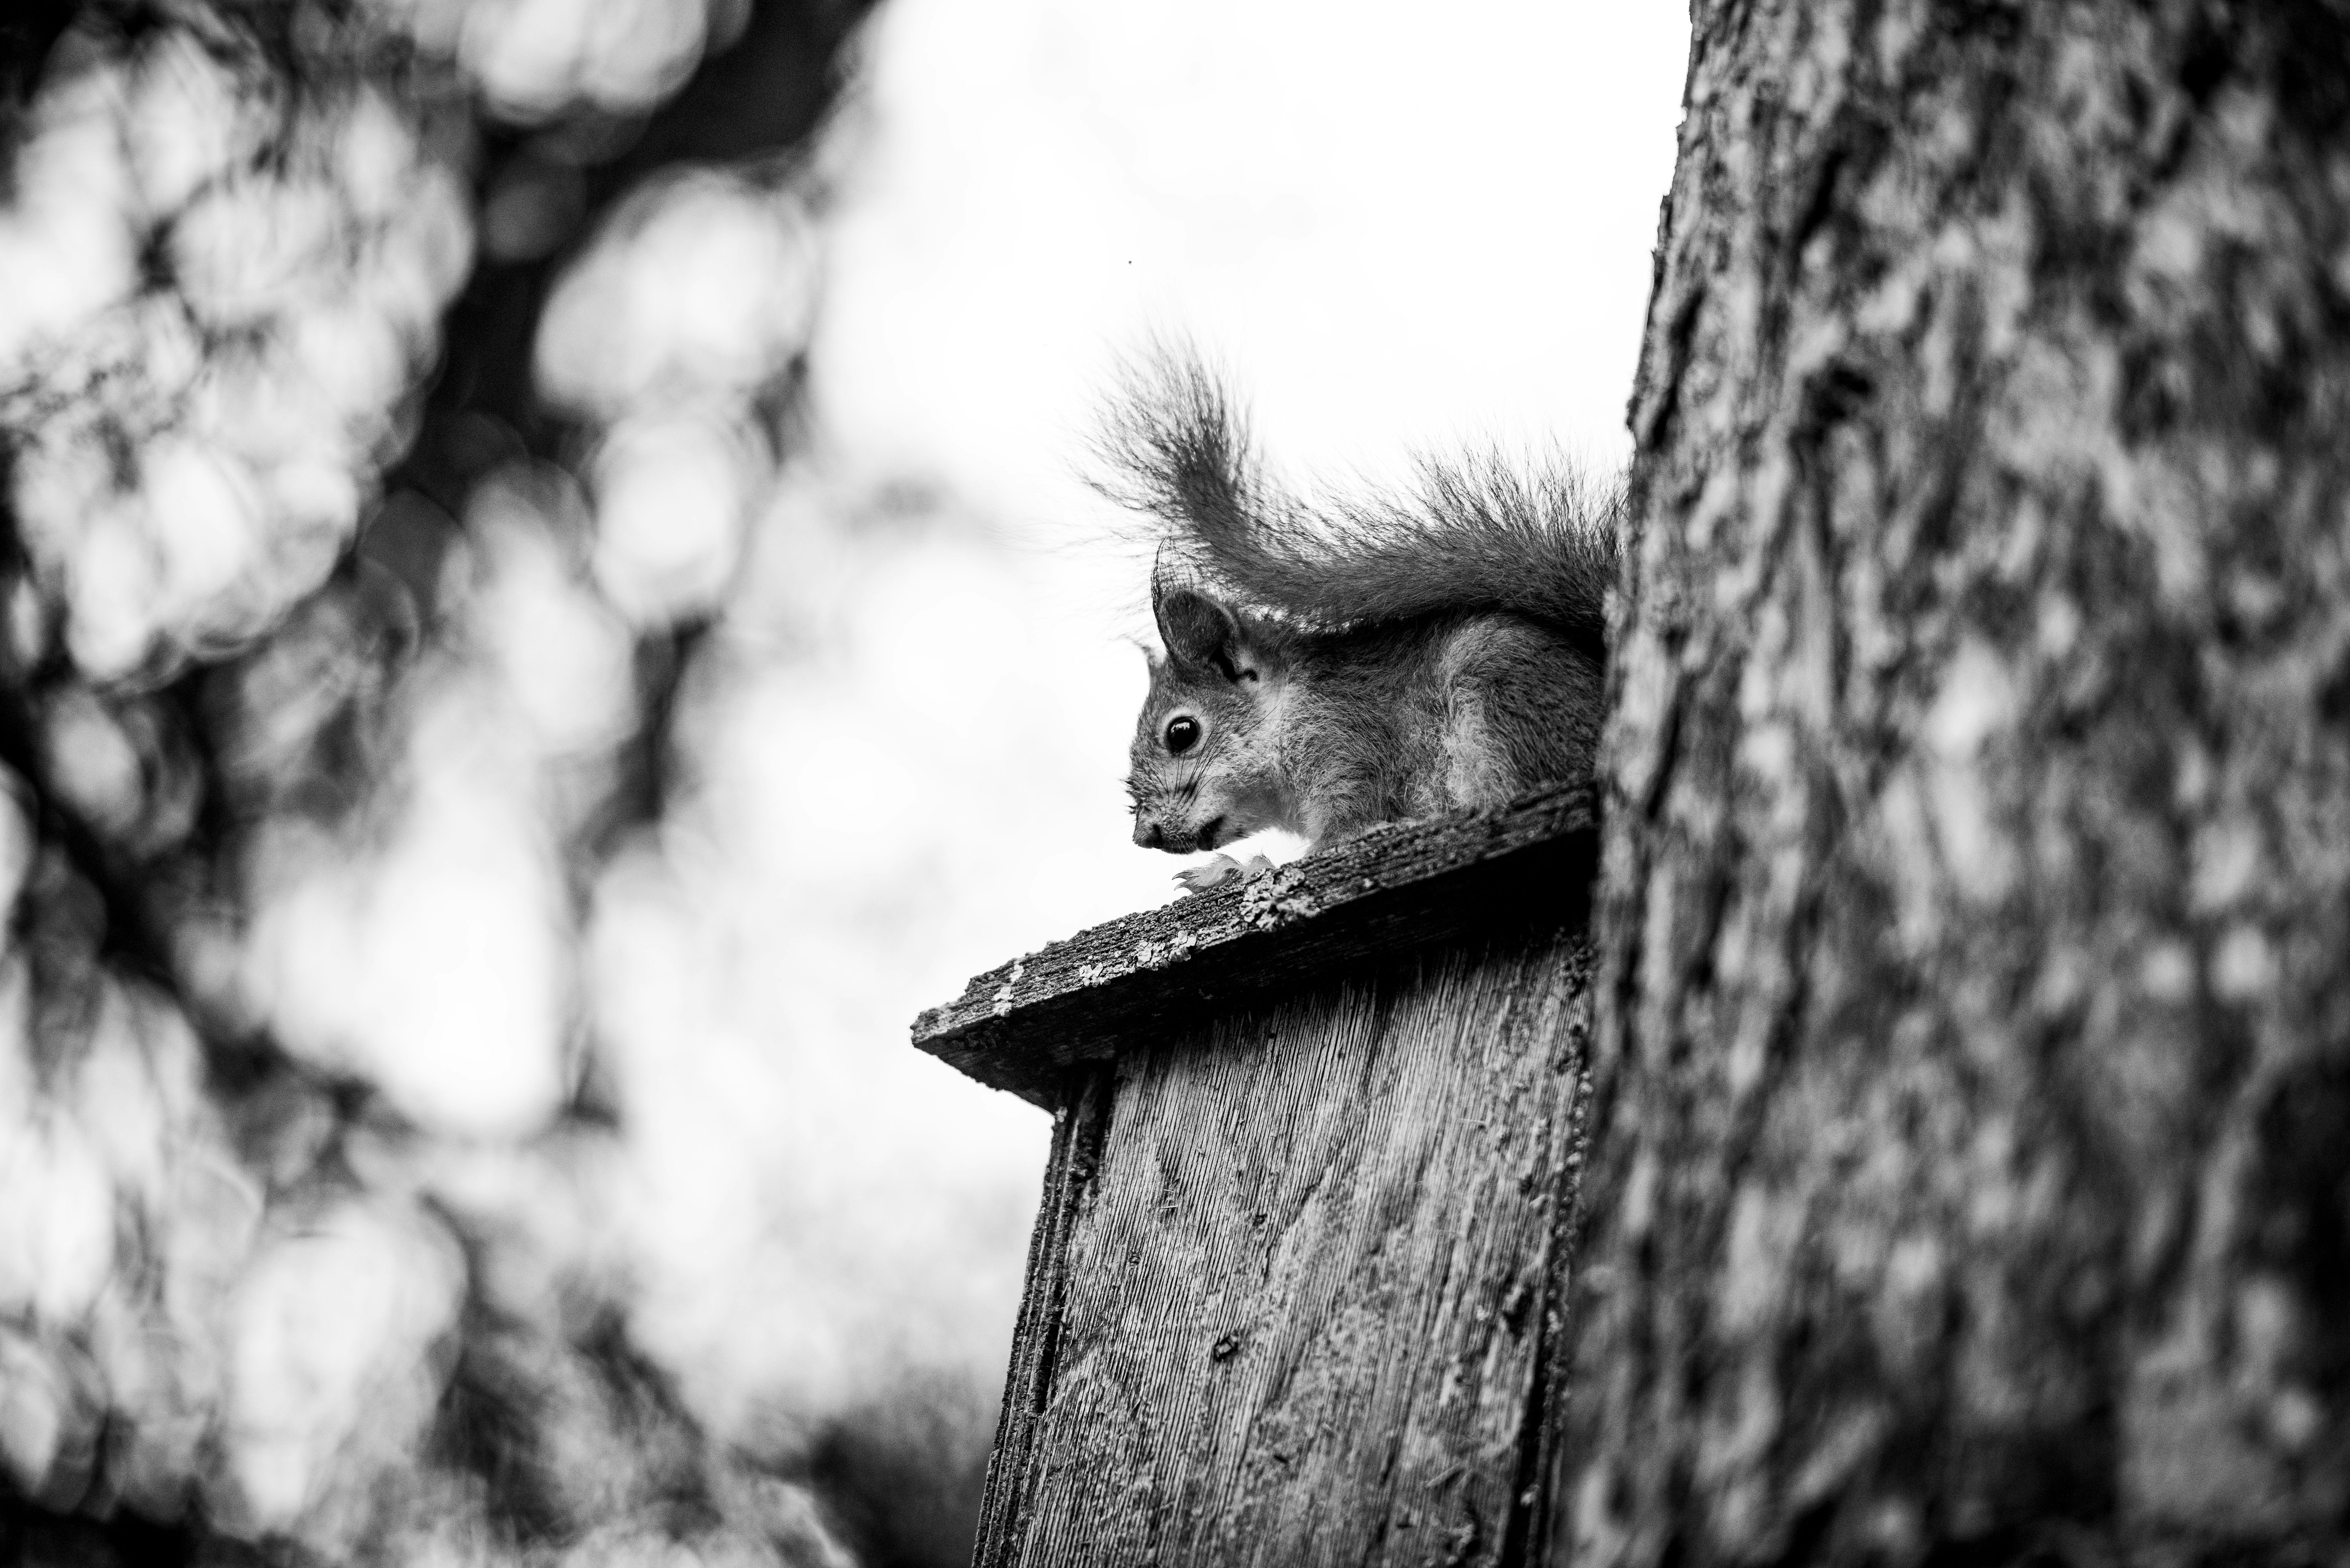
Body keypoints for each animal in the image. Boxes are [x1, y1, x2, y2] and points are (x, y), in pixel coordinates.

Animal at [1103, 357, 1618, 891]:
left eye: (1182, 733)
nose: (1145, 836)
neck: (1291, 710)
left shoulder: (1348, 747)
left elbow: (1339, 837)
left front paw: (1242, 867)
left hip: (1501, 688)